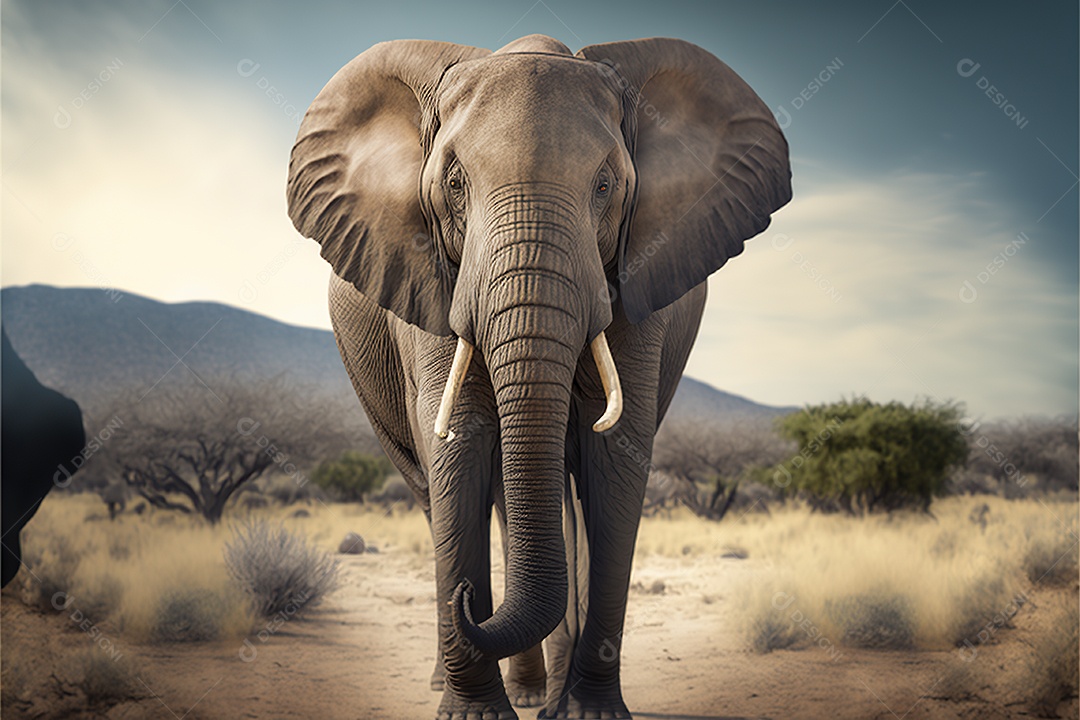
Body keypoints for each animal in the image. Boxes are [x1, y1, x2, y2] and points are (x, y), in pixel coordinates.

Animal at [287, 34, 790, 719]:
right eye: (454, 183)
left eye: (605, 184)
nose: (466, 603)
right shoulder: (432, 274)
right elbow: (462, 440)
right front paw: (473, 711)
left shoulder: (639, 277)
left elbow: (616, 450)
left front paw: (592, 711)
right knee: (446, 493)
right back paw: (491, 684)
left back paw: (542, 694)